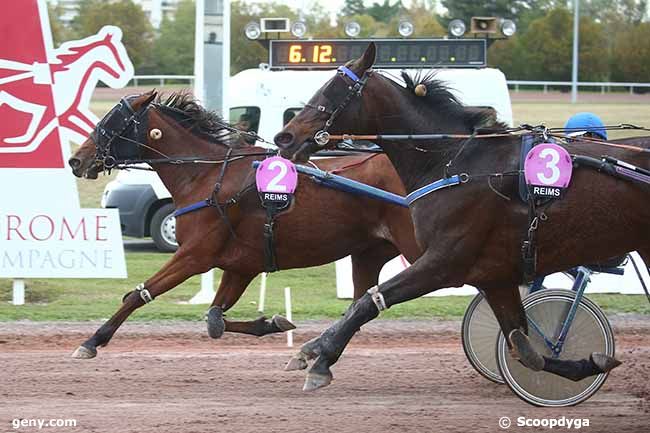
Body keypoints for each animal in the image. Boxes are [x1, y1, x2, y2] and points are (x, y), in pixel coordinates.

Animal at [68, 90, 418, 358]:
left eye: (110, 122)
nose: (76, 160)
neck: (205, 175)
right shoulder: (241, 264)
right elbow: (214, 320)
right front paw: (274, 322)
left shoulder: (195, 255)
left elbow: (138, 295)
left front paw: (92, 341)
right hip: (370, 252)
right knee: (363, 303)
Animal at [274, 43, 648, 392]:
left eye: (332, 89)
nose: (285, 137)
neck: (454, 161)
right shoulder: (495, 276)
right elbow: (525, 350)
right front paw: (590, 362)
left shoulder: (444, 262)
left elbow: (367, 301)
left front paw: (319, 356)